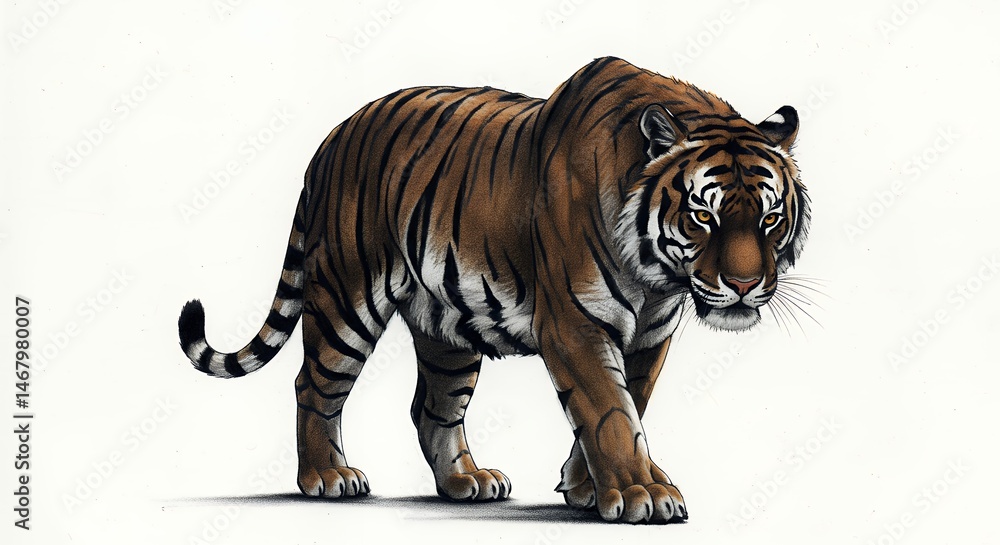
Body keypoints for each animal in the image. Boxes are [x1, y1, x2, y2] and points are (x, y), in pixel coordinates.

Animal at [178, 56, 809, 524]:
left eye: (770, 218)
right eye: (704, 216)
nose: (745, 285)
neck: (655, 277)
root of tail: (332, 138)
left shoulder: (650, 334)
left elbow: (630, 405)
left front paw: (585, 488)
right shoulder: (574, 323)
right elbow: (610, 411)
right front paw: (641, 494)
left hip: (446, 324)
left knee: (432, 407)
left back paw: (465, 480)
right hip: (345, 299)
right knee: (313, 384)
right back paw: (327, 477)